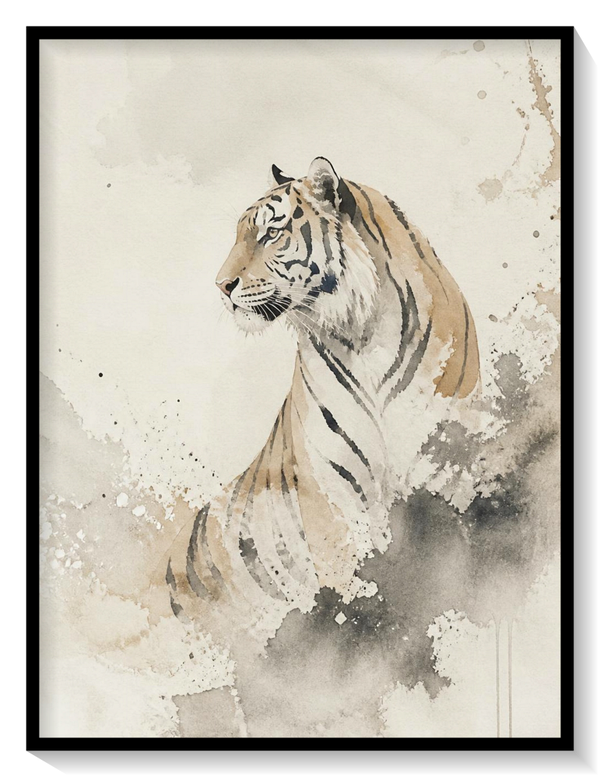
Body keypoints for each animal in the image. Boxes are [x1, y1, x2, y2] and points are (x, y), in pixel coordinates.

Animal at [165, 157, 480, 639]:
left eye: (270, 233)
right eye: (238, 235)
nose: (221, 286)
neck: (365, 335)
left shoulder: (451, 461)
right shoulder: (332, 502)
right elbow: (354, 601)